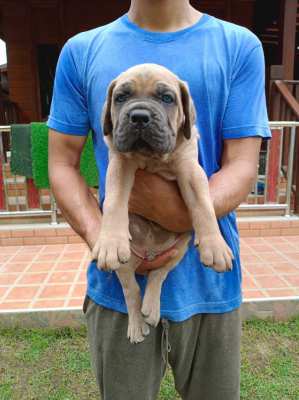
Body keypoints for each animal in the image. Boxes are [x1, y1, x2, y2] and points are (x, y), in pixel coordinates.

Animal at [92, 64, 234, 342]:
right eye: (121, 97)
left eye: (167, 98)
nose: (139, 116)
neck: (152, 157)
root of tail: (149, 257)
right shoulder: (120, 163)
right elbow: (115, 201)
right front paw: (111, 241)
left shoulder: (190, 169)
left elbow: (203, 205)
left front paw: (215, 244)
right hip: (126, 264)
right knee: (132, 291)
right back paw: (138, 324)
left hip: (180, 249)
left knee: (159, 275)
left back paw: (152, 308)